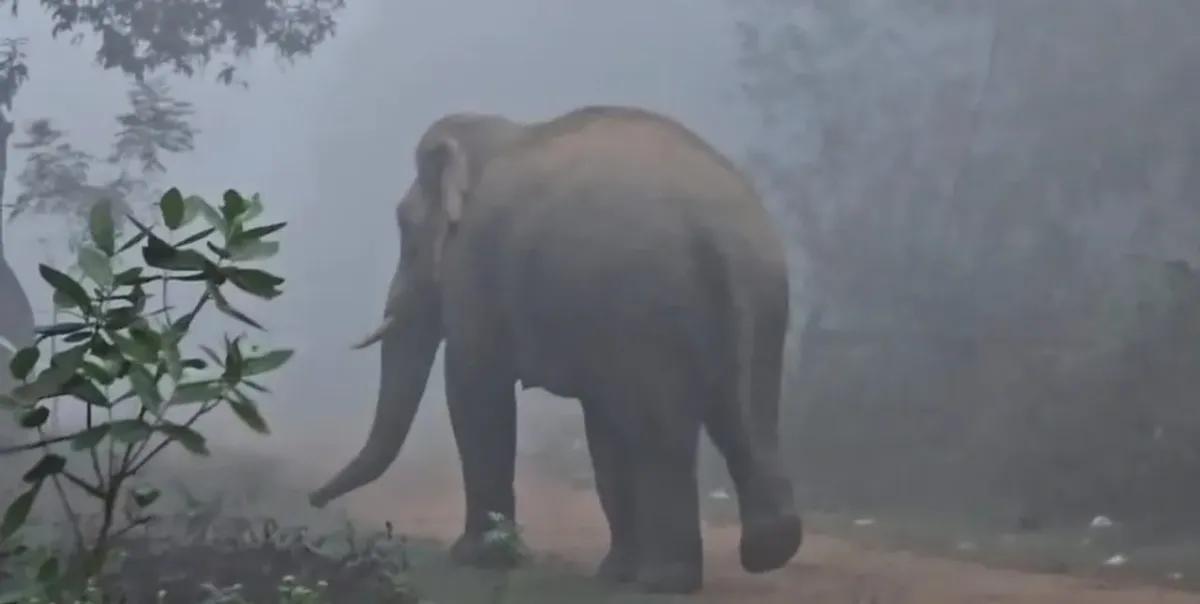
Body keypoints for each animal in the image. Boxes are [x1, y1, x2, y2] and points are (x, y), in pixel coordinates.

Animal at [308, 105, 802, 594]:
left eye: (406, 230)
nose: (313, 499)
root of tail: (720, 231)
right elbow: (600, 428)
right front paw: (611, 572)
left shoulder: (475, 265)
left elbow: (474, 389)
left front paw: (476, 558)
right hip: (759, 302)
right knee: (745, 415)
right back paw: (765, 552)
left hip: (652, 309)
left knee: (662, 433)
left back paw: (665, 581)